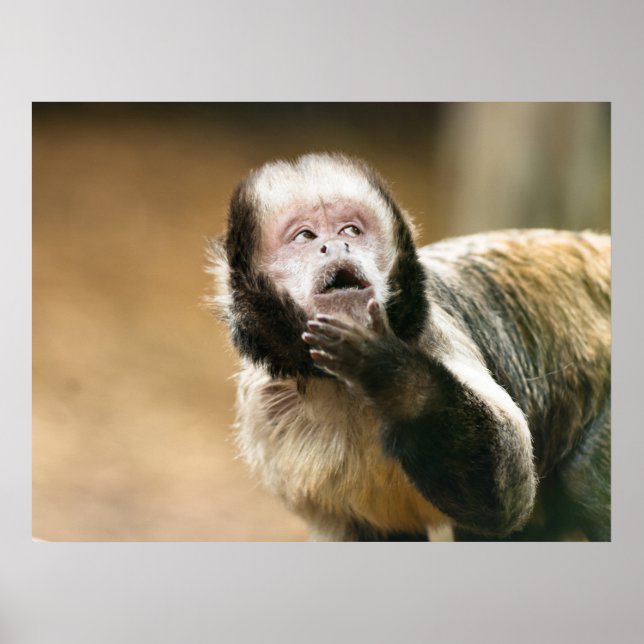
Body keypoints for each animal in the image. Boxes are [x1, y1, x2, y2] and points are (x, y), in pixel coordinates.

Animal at [207, 152, 610, 542]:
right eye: (305, 236)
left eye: (350, 229)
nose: (335, 245)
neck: (341, 384)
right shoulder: (266, 408)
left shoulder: (433, 332)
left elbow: (508, 494)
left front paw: (389, 372)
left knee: (578, 480)